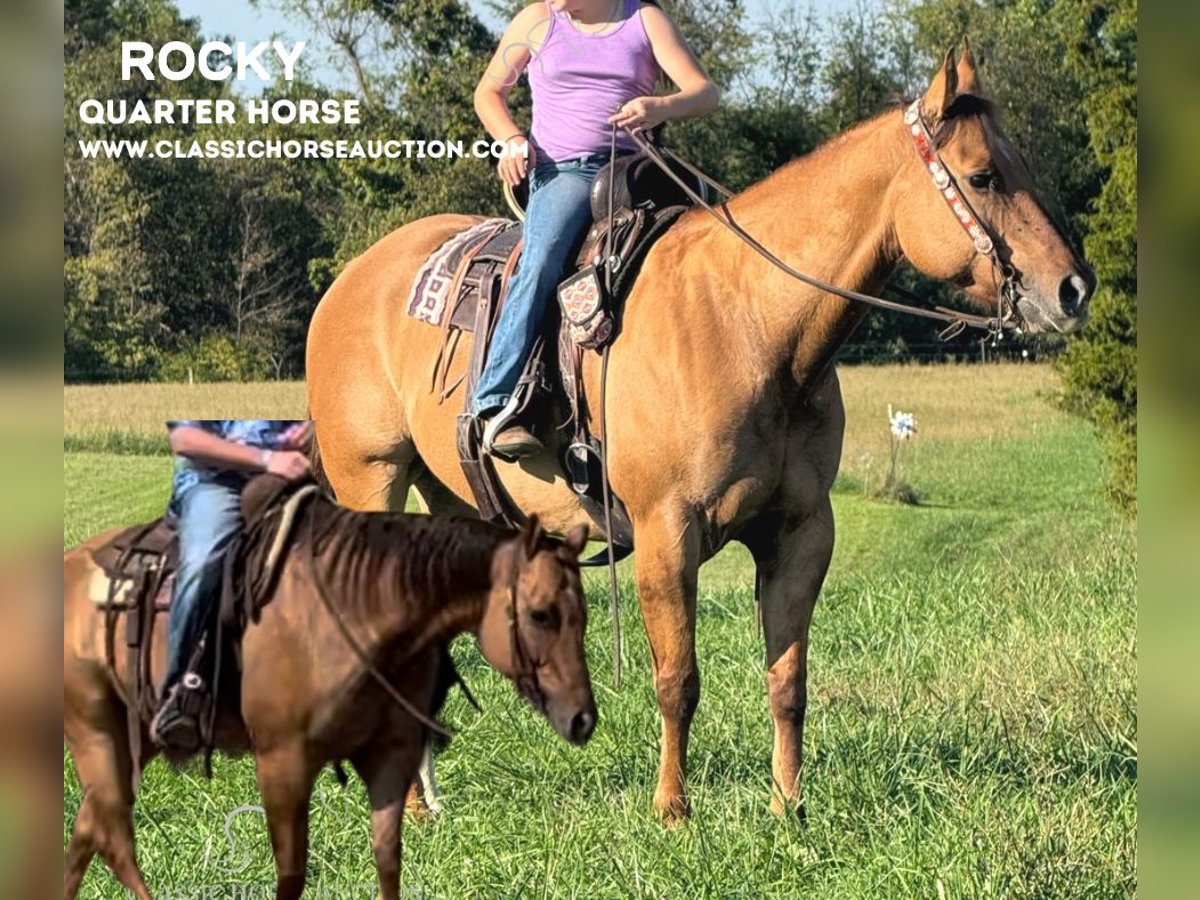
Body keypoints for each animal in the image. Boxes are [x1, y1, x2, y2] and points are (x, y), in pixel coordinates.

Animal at [60, 475, 595, 897]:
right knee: (112, 839)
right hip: (95, 736)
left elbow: (388, 863)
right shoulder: (283, 763)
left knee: (87, 833)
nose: (583, 719)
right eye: (540, 614)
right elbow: (291, 875)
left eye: (583, 617)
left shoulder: (388, 759)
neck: (361, 606)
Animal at [307, 47, 1099, 825]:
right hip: (373, 479)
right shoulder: (668, 533)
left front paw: (789, 809)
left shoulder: (801, 533)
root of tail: (349, 281)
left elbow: (788, 679)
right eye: (983, 175)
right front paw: (673, 812)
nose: (1074, 289)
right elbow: (677, 679)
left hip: (450, 504)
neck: (750, 324)